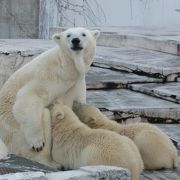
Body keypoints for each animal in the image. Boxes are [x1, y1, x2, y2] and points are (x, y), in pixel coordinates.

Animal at [0, 27, 100, 160]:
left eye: (83, 34)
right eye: (68, 35)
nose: (75, 40)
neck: (66, 67)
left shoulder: (75, 82)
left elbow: (75, 101)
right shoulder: (47, 75)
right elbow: (28, 97)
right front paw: (37, 143)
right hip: (13, 129)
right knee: (43, 116)